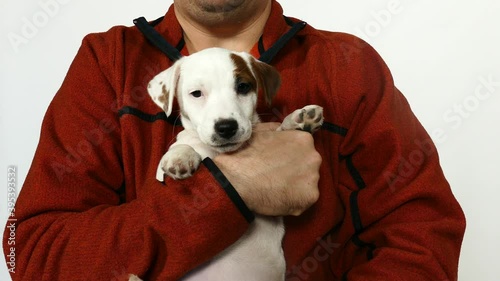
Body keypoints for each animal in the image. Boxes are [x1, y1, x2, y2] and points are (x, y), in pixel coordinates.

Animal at [131, 47, 322, 278]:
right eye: (196, 93)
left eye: (243, 87)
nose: (226, 127)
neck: (215, 152)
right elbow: (182, 146)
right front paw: (181, 155)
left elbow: (281, 130)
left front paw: (298, 122)